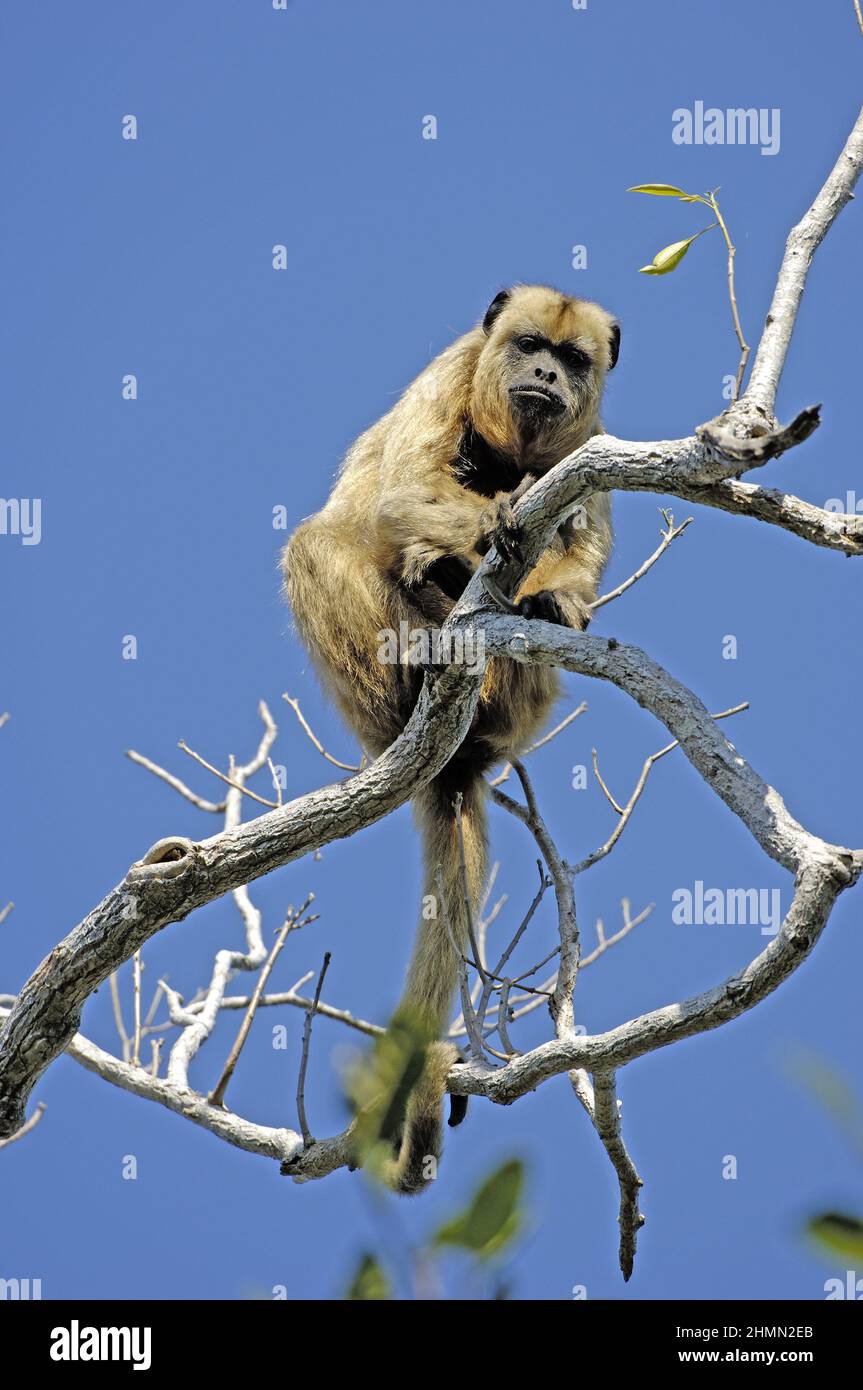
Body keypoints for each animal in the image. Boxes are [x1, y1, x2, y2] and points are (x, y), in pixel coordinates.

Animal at [283, 285, 618, 1193]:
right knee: (319, 540)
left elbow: (585, 554)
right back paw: (428, 628)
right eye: (530, 345)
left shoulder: (600, 437)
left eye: (572, 360)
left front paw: (556, 594)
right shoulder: (450, 372)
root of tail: (457, 759)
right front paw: (488, 518)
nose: (545, 375)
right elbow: (401, 492)